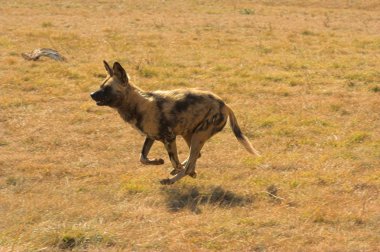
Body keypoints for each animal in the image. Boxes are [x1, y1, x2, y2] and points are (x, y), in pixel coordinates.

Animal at [90, 60, 260, 184]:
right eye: (100, 86)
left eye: (106, 88)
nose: (91, 94)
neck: (137, 104)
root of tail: (224, 104)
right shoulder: (151, 137)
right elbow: (142, 158)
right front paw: (158, 161)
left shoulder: (169, 138)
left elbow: (175, 162)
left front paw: (181, 171)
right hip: (189, 135)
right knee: (195, 157)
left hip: (197, 136)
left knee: (190, 164)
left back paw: (172, 179)